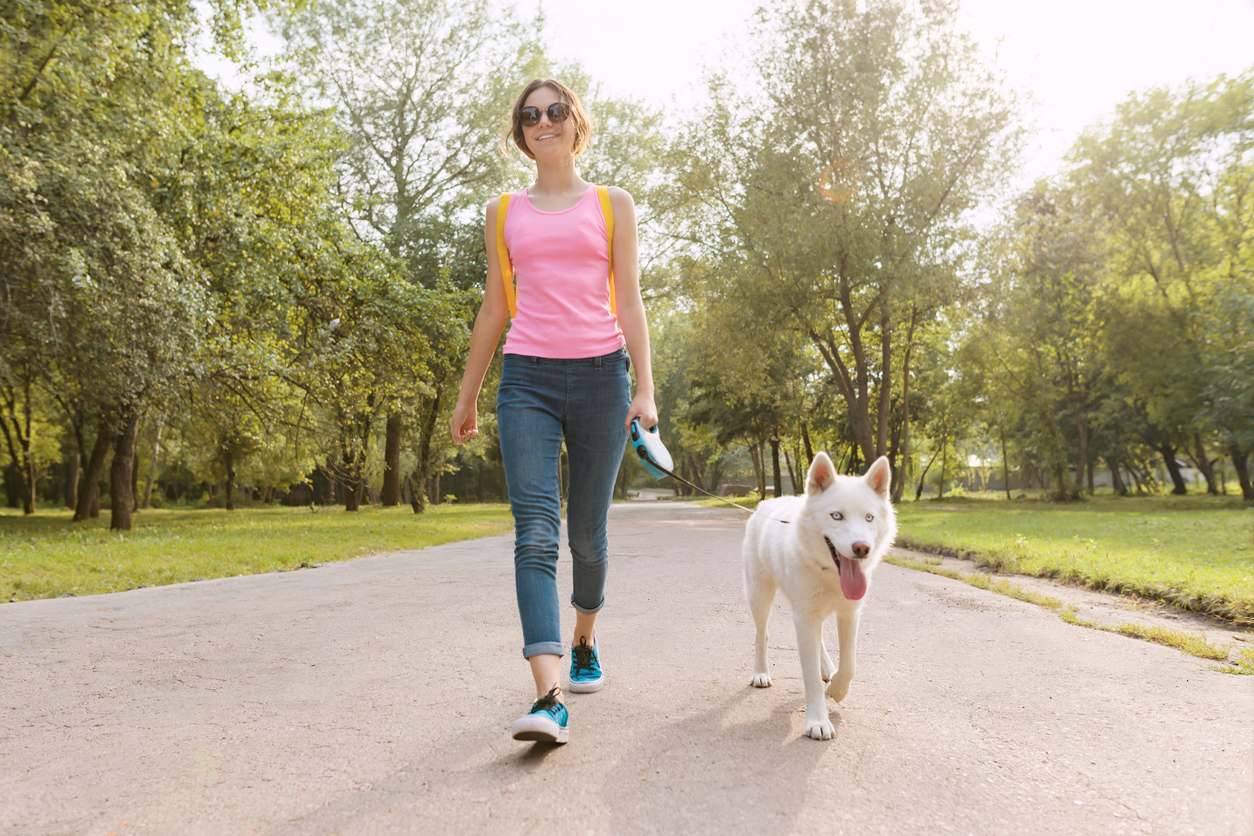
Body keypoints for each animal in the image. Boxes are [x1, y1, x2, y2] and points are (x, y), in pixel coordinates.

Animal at [737, 451, 897, 736]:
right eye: (837, 516)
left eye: (869, 518)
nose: (862, 548)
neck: (829, 572)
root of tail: (767, 502)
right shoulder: (805, 617)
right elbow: (809, 676)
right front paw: (818, 722)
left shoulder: (849, 614)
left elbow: (850, 664)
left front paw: (837, 688)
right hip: (759, 596)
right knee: (761, 635)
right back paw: (761, 673)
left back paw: (828, 670)